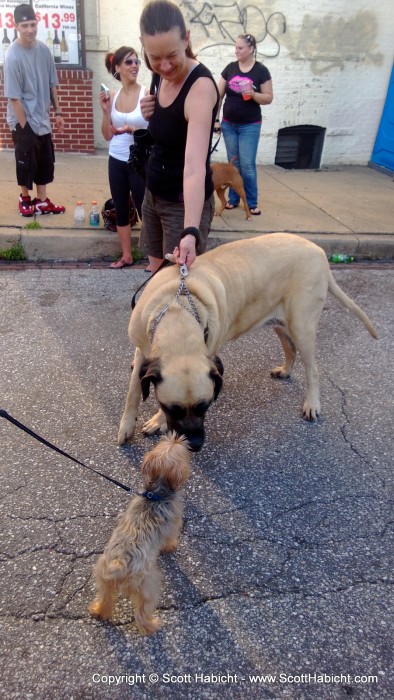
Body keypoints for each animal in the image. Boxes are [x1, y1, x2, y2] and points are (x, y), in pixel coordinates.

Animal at [87, 432, 191, 636]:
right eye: (183, 451)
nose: (178, 437)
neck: (157, 492)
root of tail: (118, 565)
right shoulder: (174, 523)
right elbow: (170, 538)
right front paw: (170, 547)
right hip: (148, 584)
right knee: (142, 612)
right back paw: (152, 625)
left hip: (103, 580)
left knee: (106, 599)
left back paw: (98, 611)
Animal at [117, 232, 376, 452]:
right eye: (172, 408)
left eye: (205, 406)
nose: (195, 445)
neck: (177, 313)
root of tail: (319, 251)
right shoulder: (143, 351)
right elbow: (133, 391)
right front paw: (127, 426)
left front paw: (157, 421)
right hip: (279, 321)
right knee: (290, 348)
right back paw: (285, 370)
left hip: (302, 325)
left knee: (312, 368)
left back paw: (312, 403)